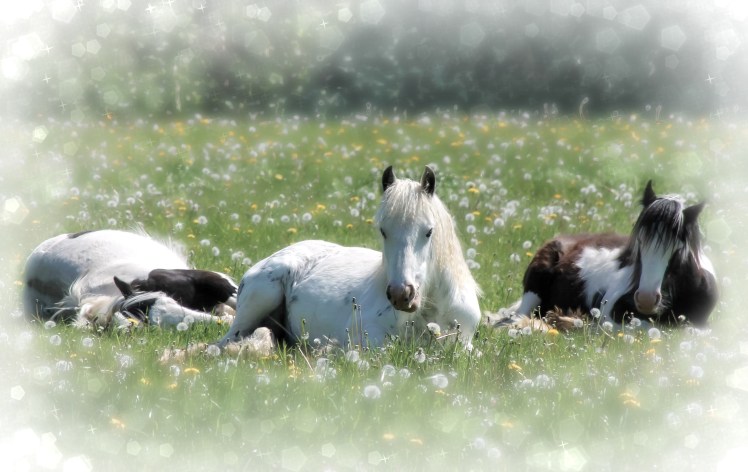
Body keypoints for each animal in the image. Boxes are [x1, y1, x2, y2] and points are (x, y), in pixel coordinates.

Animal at [217, 166, 481, 349]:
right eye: (383, 230)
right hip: (259, 301)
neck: (431, 311)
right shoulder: (367, 338)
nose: (401, 295)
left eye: (428, 231)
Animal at [489, 180, 718, 330]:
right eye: (639, 243)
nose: (646, 300)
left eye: (677, 250)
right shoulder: (610, 313)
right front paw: (567, 321)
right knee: (514, 318)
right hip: (531, 295)